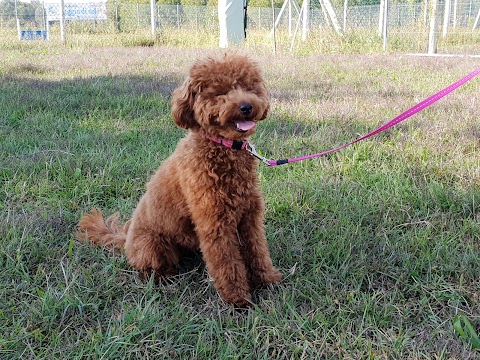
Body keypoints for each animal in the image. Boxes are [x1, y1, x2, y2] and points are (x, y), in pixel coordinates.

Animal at [76, 53, 282, 306]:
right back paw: (160, 277)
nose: (247, 106)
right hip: (152, 245)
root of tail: (125, 239)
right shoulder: (215, 222)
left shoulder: (250, 215)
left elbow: (257, 250)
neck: (222, 148)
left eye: (249, 87)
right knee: (147, 266)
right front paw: (238, 299)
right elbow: (227, 263)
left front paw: (267, 279)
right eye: (219, 92)